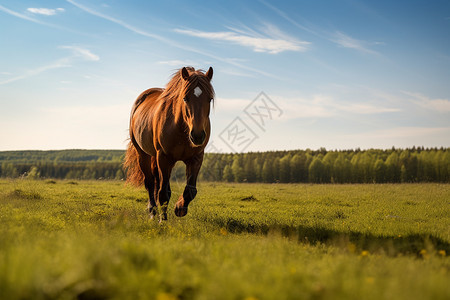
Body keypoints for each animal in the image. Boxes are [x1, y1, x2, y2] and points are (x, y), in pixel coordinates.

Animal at [123, 67, 214, 221]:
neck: (181, 128)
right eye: (185, 98)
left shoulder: (196, 158)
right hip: (144, 155)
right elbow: (163, 192)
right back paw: (152, 212)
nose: (197, 135)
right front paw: (163, 220)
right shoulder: (164, 158)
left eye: (210, 98)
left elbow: (191, 190)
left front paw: (179, 208)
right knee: (150, 183)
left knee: (156, 181)